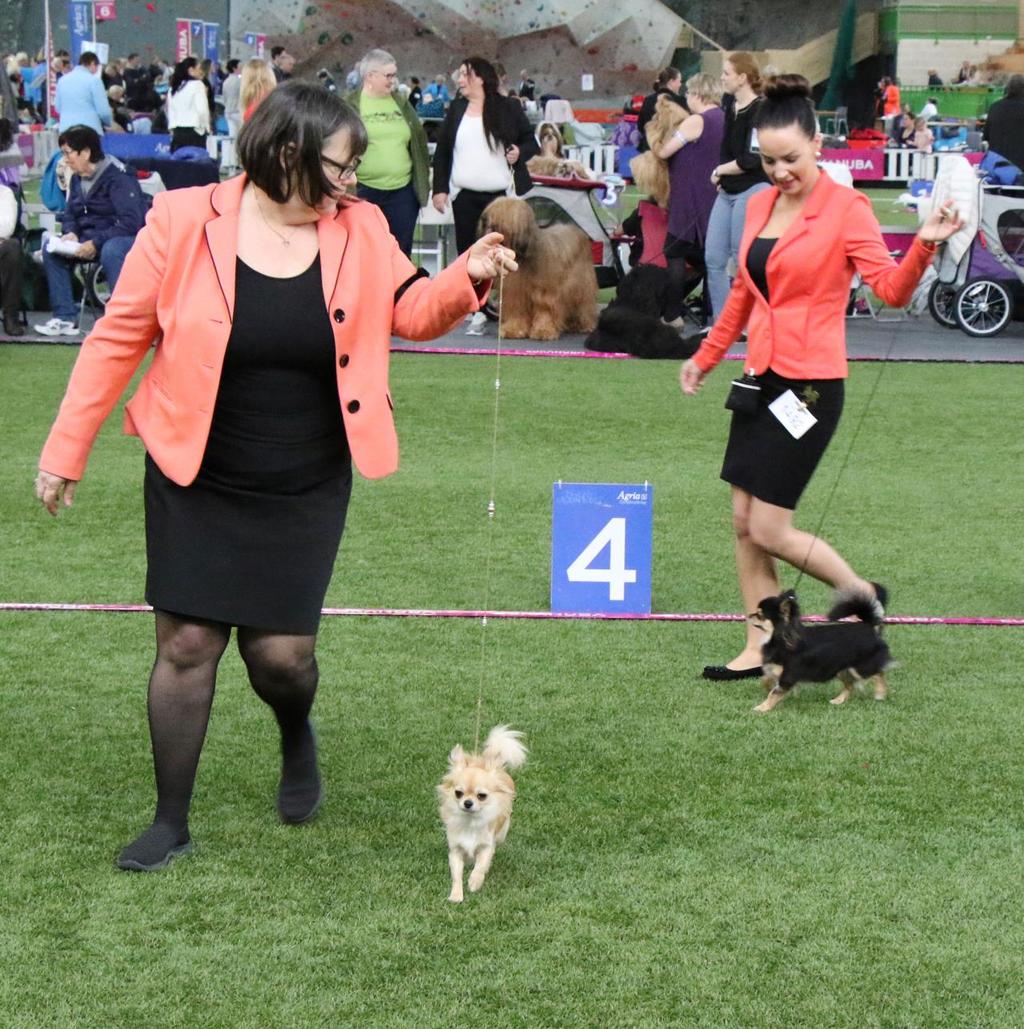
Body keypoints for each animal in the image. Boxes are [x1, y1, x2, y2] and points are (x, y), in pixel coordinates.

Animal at [479, 198, 601, 343]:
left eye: (500, 213)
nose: (484, 219)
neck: (523, 258)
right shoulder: (516, 292)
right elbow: (517, 310)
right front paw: (513, 330)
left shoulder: (545, 292)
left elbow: (545, 311)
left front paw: (543, 331)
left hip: (581, 284)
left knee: (584, 304)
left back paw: (584, 324)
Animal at [749, 588, 893, 716]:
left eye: (760, 615)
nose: (749, 615)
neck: (780, 638)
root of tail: (867, 626)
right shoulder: (777, 671)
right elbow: (766, 680)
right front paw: (767, 688)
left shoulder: (788, 675)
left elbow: (774, 693)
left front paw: (762, 708)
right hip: (842, 670)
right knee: (850, 685)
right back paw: (838, 701)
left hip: (860, 668)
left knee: (879, 673)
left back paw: (880, 694)